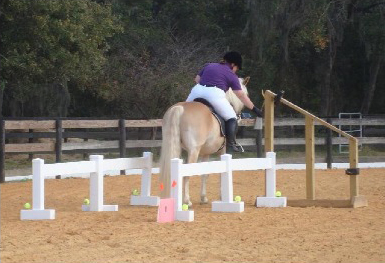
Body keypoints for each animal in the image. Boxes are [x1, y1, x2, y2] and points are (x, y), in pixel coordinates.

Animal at [158, 77, 249, 207]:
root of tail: (179, 108)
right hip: (194, 151)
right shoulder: (223, 151)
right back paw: (187, 201)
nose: (240, 116)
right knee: (186, 174)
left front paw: (203, 197)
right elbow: (220, 172)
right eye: (245, 94)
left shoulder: (206, 153)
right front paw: (222, 196)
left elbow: (204, 173)